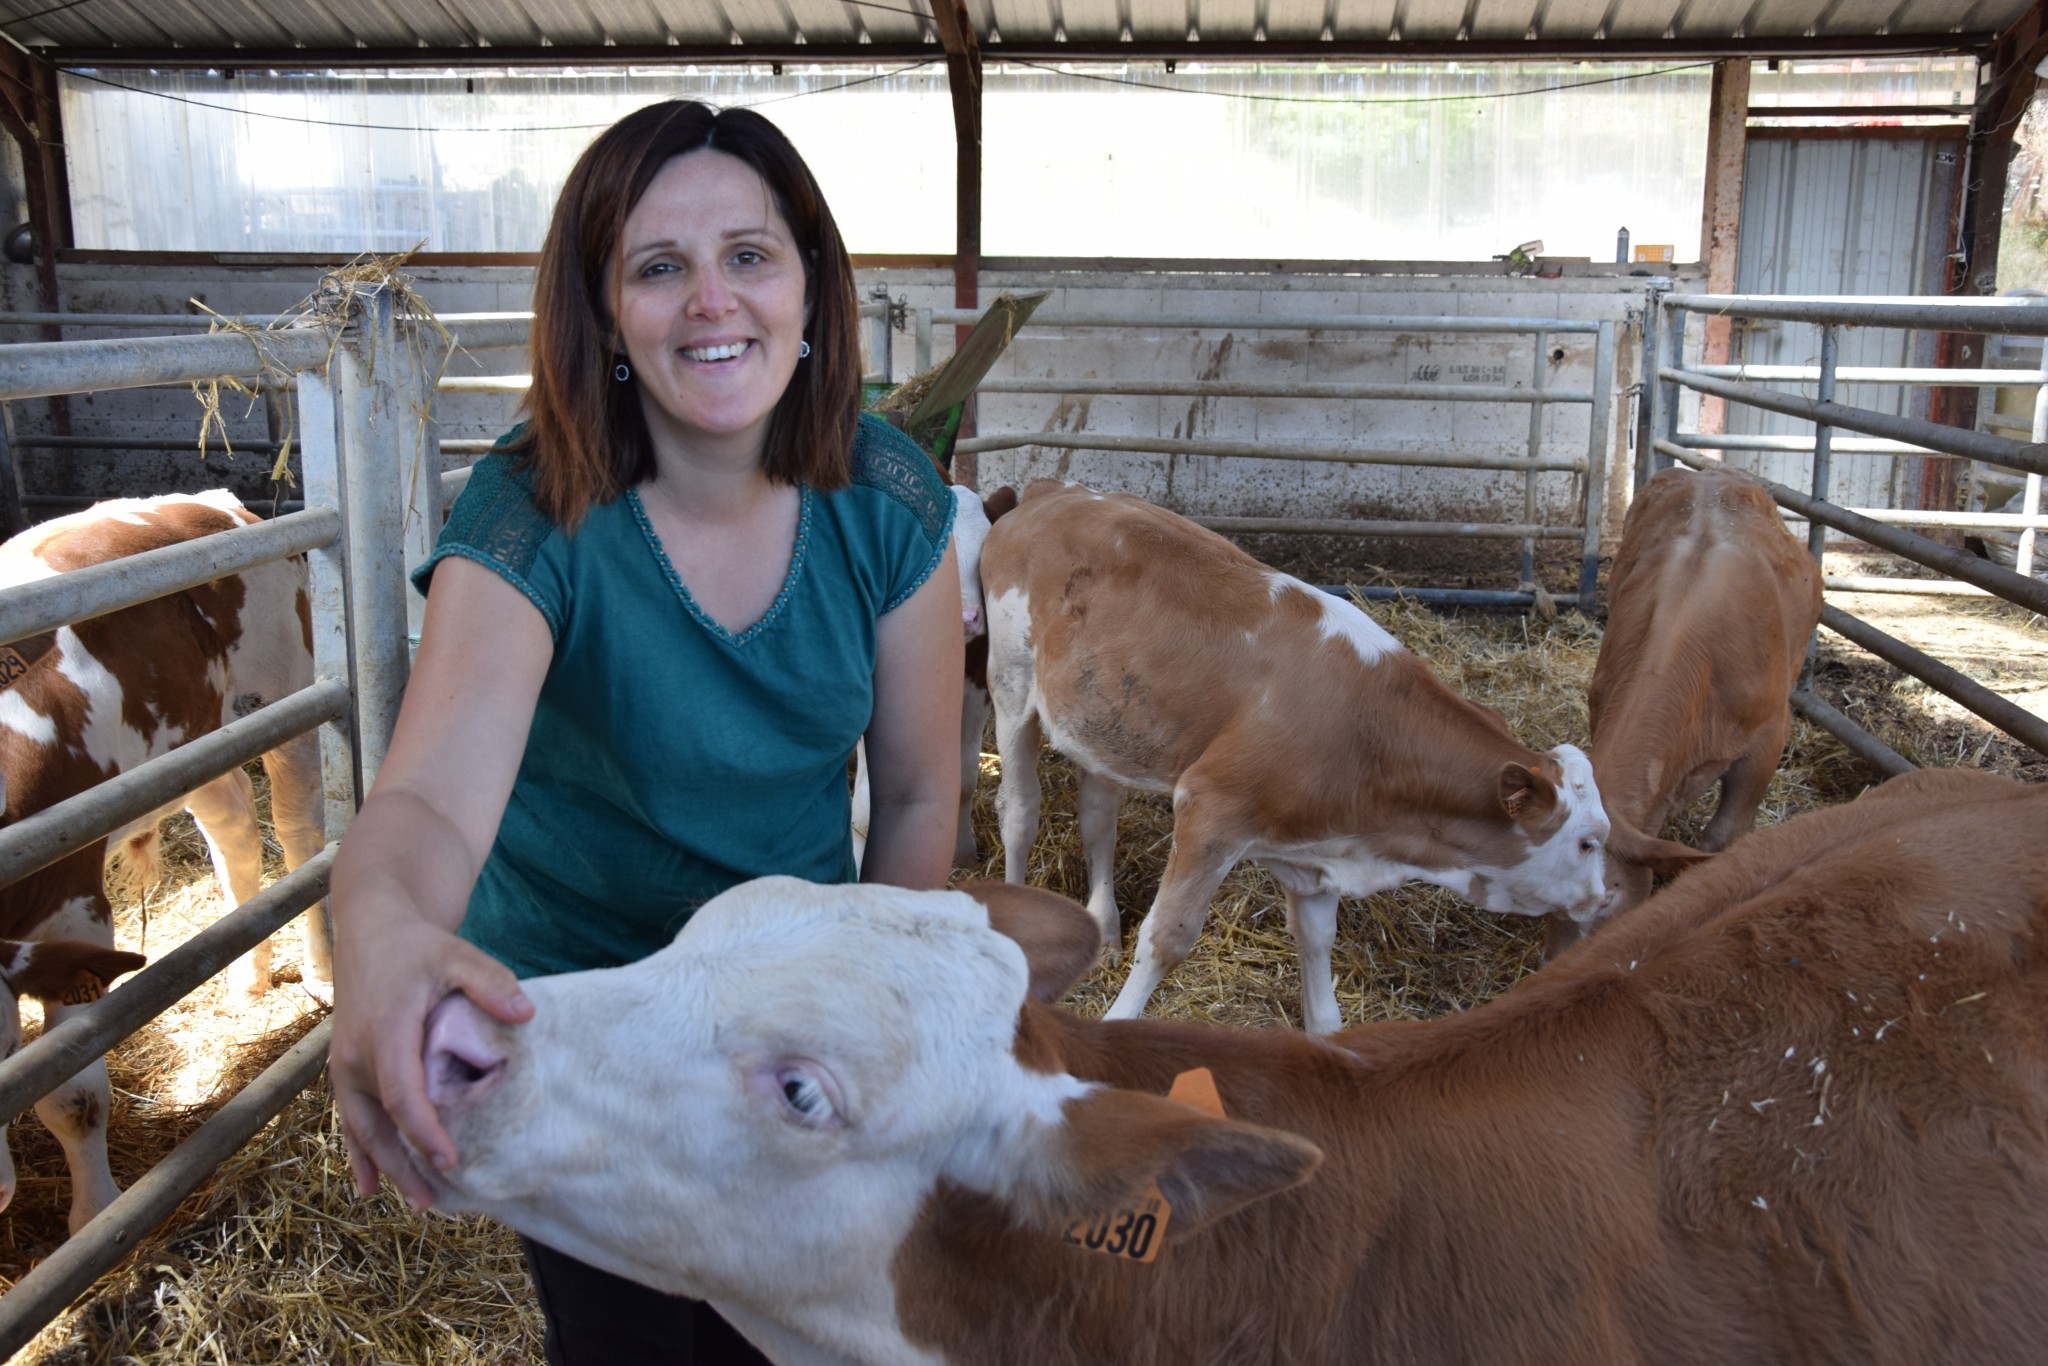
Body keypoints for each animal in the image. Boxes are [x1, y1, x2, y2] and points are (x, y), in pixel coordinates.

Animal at [0, 489, 323, 1228]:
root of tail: (209, 501)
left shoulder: (72, 900)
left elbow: (73, 1094)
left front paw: (96, 1217)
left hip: (284, 693)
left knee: (298, 830)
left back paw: (322, 969)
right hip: (193, 743)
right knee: (233, 830)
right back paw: (248, 980)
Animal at [983, 485, 1687, 1032]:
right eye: (1589, 842)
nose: (1602, 902)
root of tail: (1054, 493)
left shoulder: (1313, 857)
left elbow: (1321, 976)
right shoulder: (1210, 809)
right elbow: (1169, 937)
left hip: (1103, 723)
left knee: (1098, 816)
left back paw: (1101, 928)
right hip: (1011, 685)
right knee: (1019, 811)